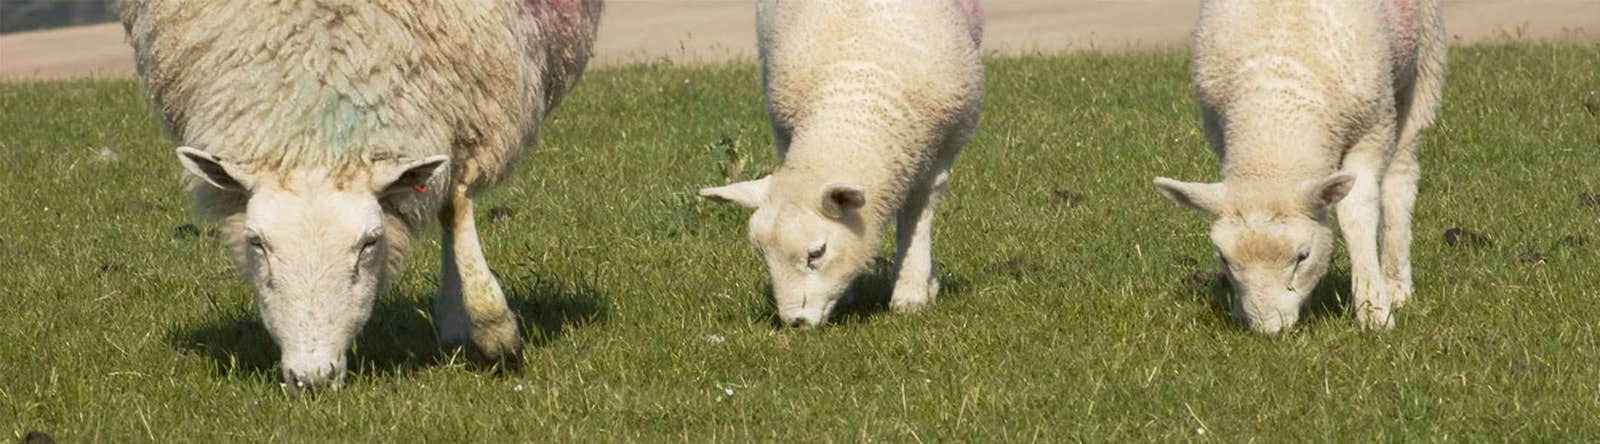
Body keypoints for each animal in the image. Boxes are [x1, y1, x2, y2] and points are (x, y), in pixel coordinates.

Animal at [122, 0, 602, 389]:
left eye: (370, 244)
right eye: (256, 244)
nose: (311, 379)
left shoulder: (469, 107)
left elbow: (455, 203)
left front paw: (494, 330)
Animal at [699, 0, 985, 328]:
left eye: (817, 253)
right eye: (762, 254)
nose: (795, 322)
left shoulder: (941, 154)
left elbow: (916, 221)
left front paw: (910, 294)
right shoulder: (785, 133)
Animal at [1153, 0, 1446, 333]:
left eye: (1303, 257)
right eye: (1224, 259)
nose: (1268, 330)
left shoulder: (1372, 130)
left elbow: (1357, 215)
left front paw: (1374, 310)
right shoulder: (1218, 131)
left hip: (1423, 66)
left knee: (1401, 177)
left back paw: (1396, 282)